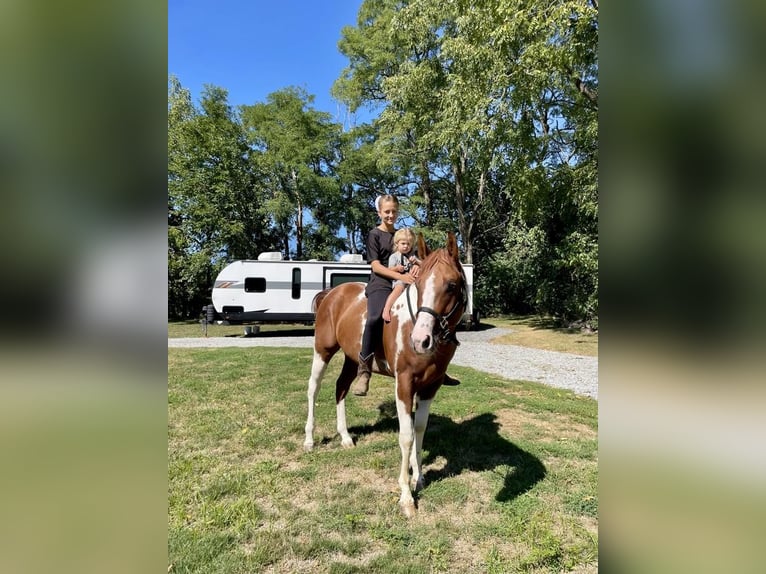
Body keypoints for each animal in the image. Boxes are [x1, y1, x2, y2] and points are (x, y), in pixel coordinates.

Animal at [306, 232, 468, 520]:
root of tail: (331, 294)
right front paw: (406, 496)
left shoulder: (430, 387)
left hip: (352, 358)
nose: (420, 340)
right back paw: (309, 440)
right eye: (419, 284)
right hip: (323, 350)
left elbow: (419, 429)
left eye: (451, 285)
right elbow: (406, 436)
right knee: (313, 388)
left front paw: (419, 477)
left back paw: (345, 437)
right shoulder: (404, 384)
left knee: (341, 388)